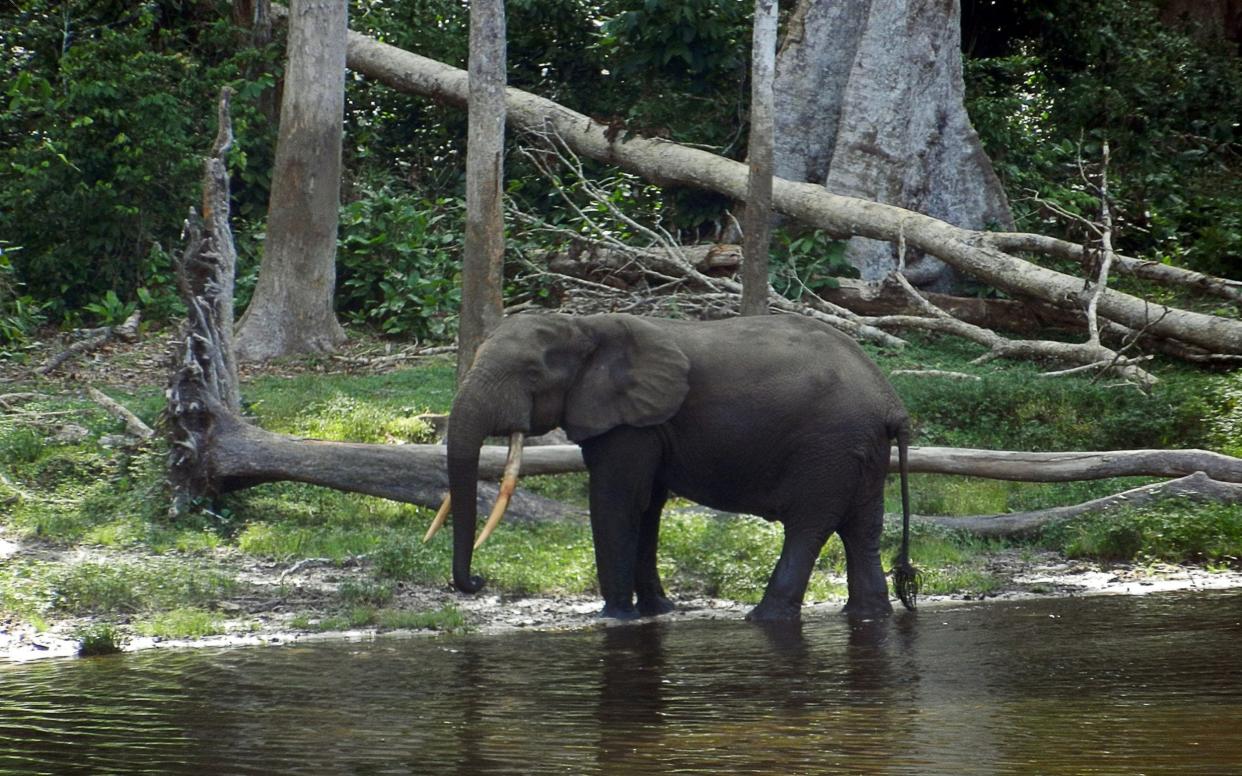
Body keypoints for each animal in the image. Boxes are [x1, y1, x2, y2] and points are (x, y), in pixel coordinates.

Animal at [429, 311, 924, 620]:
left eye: (532, 374)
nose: (477, 581)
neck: (585, 326)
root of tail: (893, 403)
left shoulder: (629, 423)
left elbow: (616, 500)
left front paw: (614, 616)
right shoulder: (646, 424)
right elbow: (647, 505)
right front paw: (656, 612)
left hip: (828, 446)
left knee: (809, 525)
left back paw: (764, 618)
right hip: (860, 450)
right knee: (861, 527)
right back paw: (866, 614)